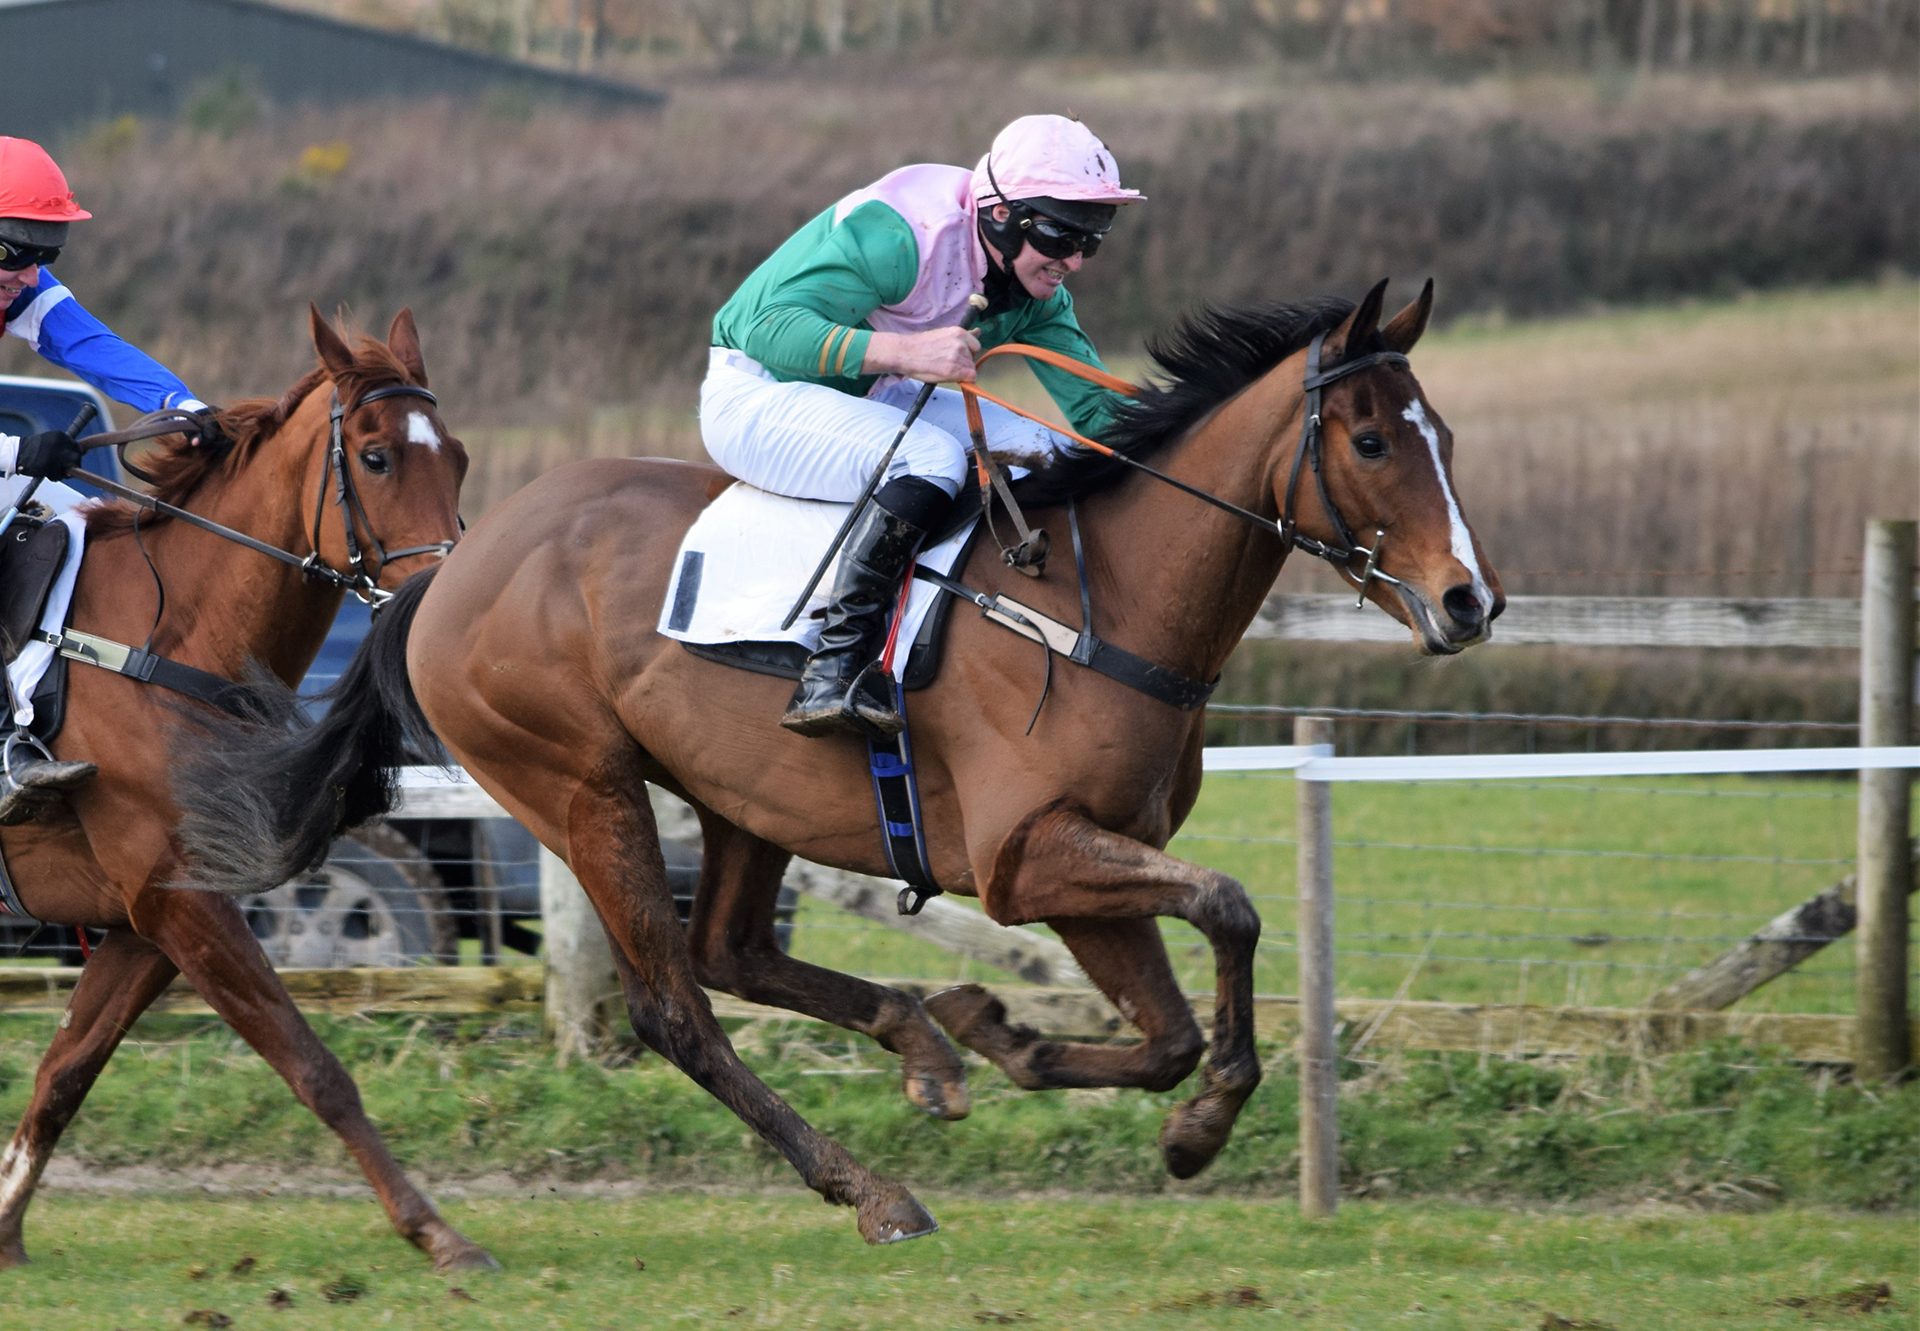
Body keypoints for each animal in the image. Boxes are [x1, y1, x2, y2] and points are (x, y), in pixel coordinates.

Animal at [0, 305, 499, 1275]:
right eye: (376, 456)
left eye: (455, 455)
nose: (440, 602)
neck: (167, 643)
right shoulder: (180, 903)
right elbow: (315, 1066)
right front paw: (438, 1231)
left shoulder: (153, 913)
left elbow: (64, 1069)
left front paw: (3, 1230)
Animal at [176, 280, 1497, 1244]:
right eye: (1370, 439)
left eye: (1442, 434)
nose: (1468, 601)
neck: (1101, 599)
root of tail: (449, 570)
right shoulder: (1027, 857)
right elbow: (1229, 906)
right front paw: (1194, 1116)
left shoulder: (1082, 864)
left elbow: (1168, 1021)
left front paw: (1023, 1042)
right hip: (581, 784)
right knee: (677, 1004)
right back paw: (872, 1187)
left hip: (740, 794)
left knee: (735, 948)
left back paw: (923, 1043)